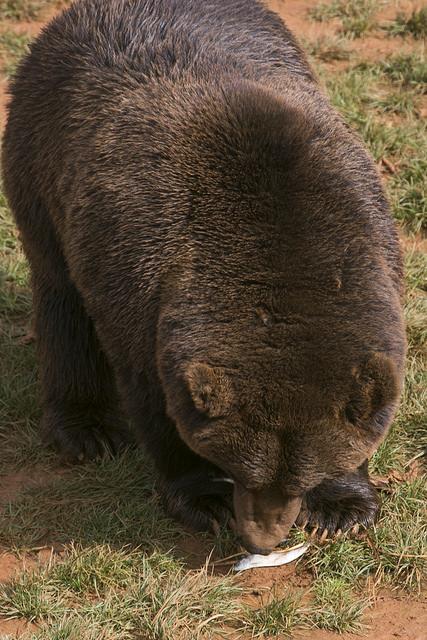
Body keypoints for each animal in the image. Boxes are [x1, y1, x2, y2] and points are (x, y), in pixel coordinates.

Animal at [1, 0, 406, 552]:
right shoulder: (136, 277)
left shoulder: (372, 240)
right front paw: (205, 498)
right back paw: (88, 428)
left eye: (298, 480)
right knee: (61, 299)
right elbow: (156, 397)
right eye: (243, 470)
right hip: (40, 158)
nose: (263, 537)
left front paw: (343, 505)